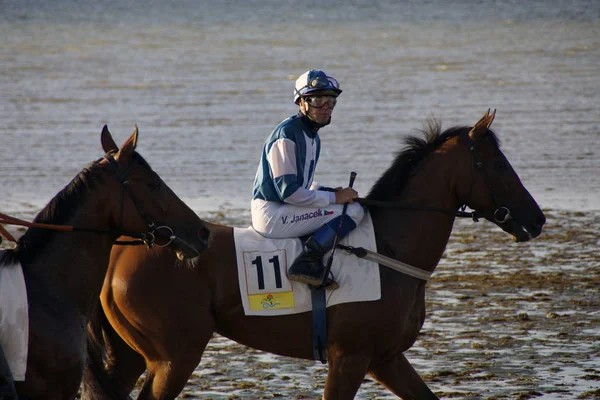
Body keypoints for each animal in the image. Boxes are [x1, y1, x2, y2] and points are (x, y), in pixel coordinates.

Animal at [82, 110, 548, 400]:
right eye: (500, 165)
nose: (538, 218)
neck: (389, 250)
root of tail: (120, 252)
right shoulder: (350, 357)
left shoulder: (386, 358)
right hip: (174, 356)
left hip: (130, 356)